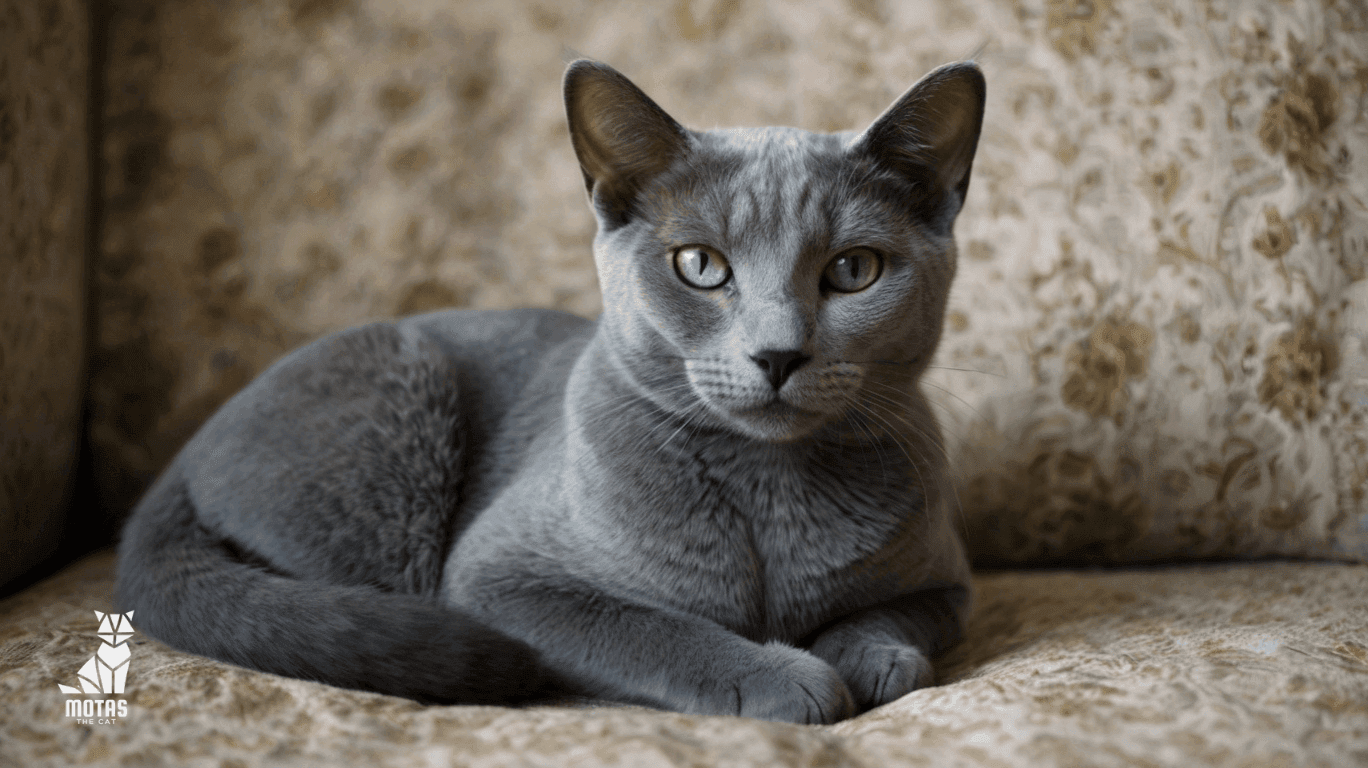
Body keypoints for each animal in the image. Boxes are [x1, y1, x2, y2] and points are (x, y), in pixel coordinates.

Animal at [114, 56, 984, 722]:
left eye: (853, 269)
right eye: (700, 266)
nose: (777, 354)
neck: (769, 489)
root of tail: (179, 461)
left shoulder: (949, 581)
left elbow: (899, 611)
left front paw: (871, 656)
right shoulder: (502, 577)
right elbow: (651, 628)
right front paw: (786, 679)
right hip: (401, 432)